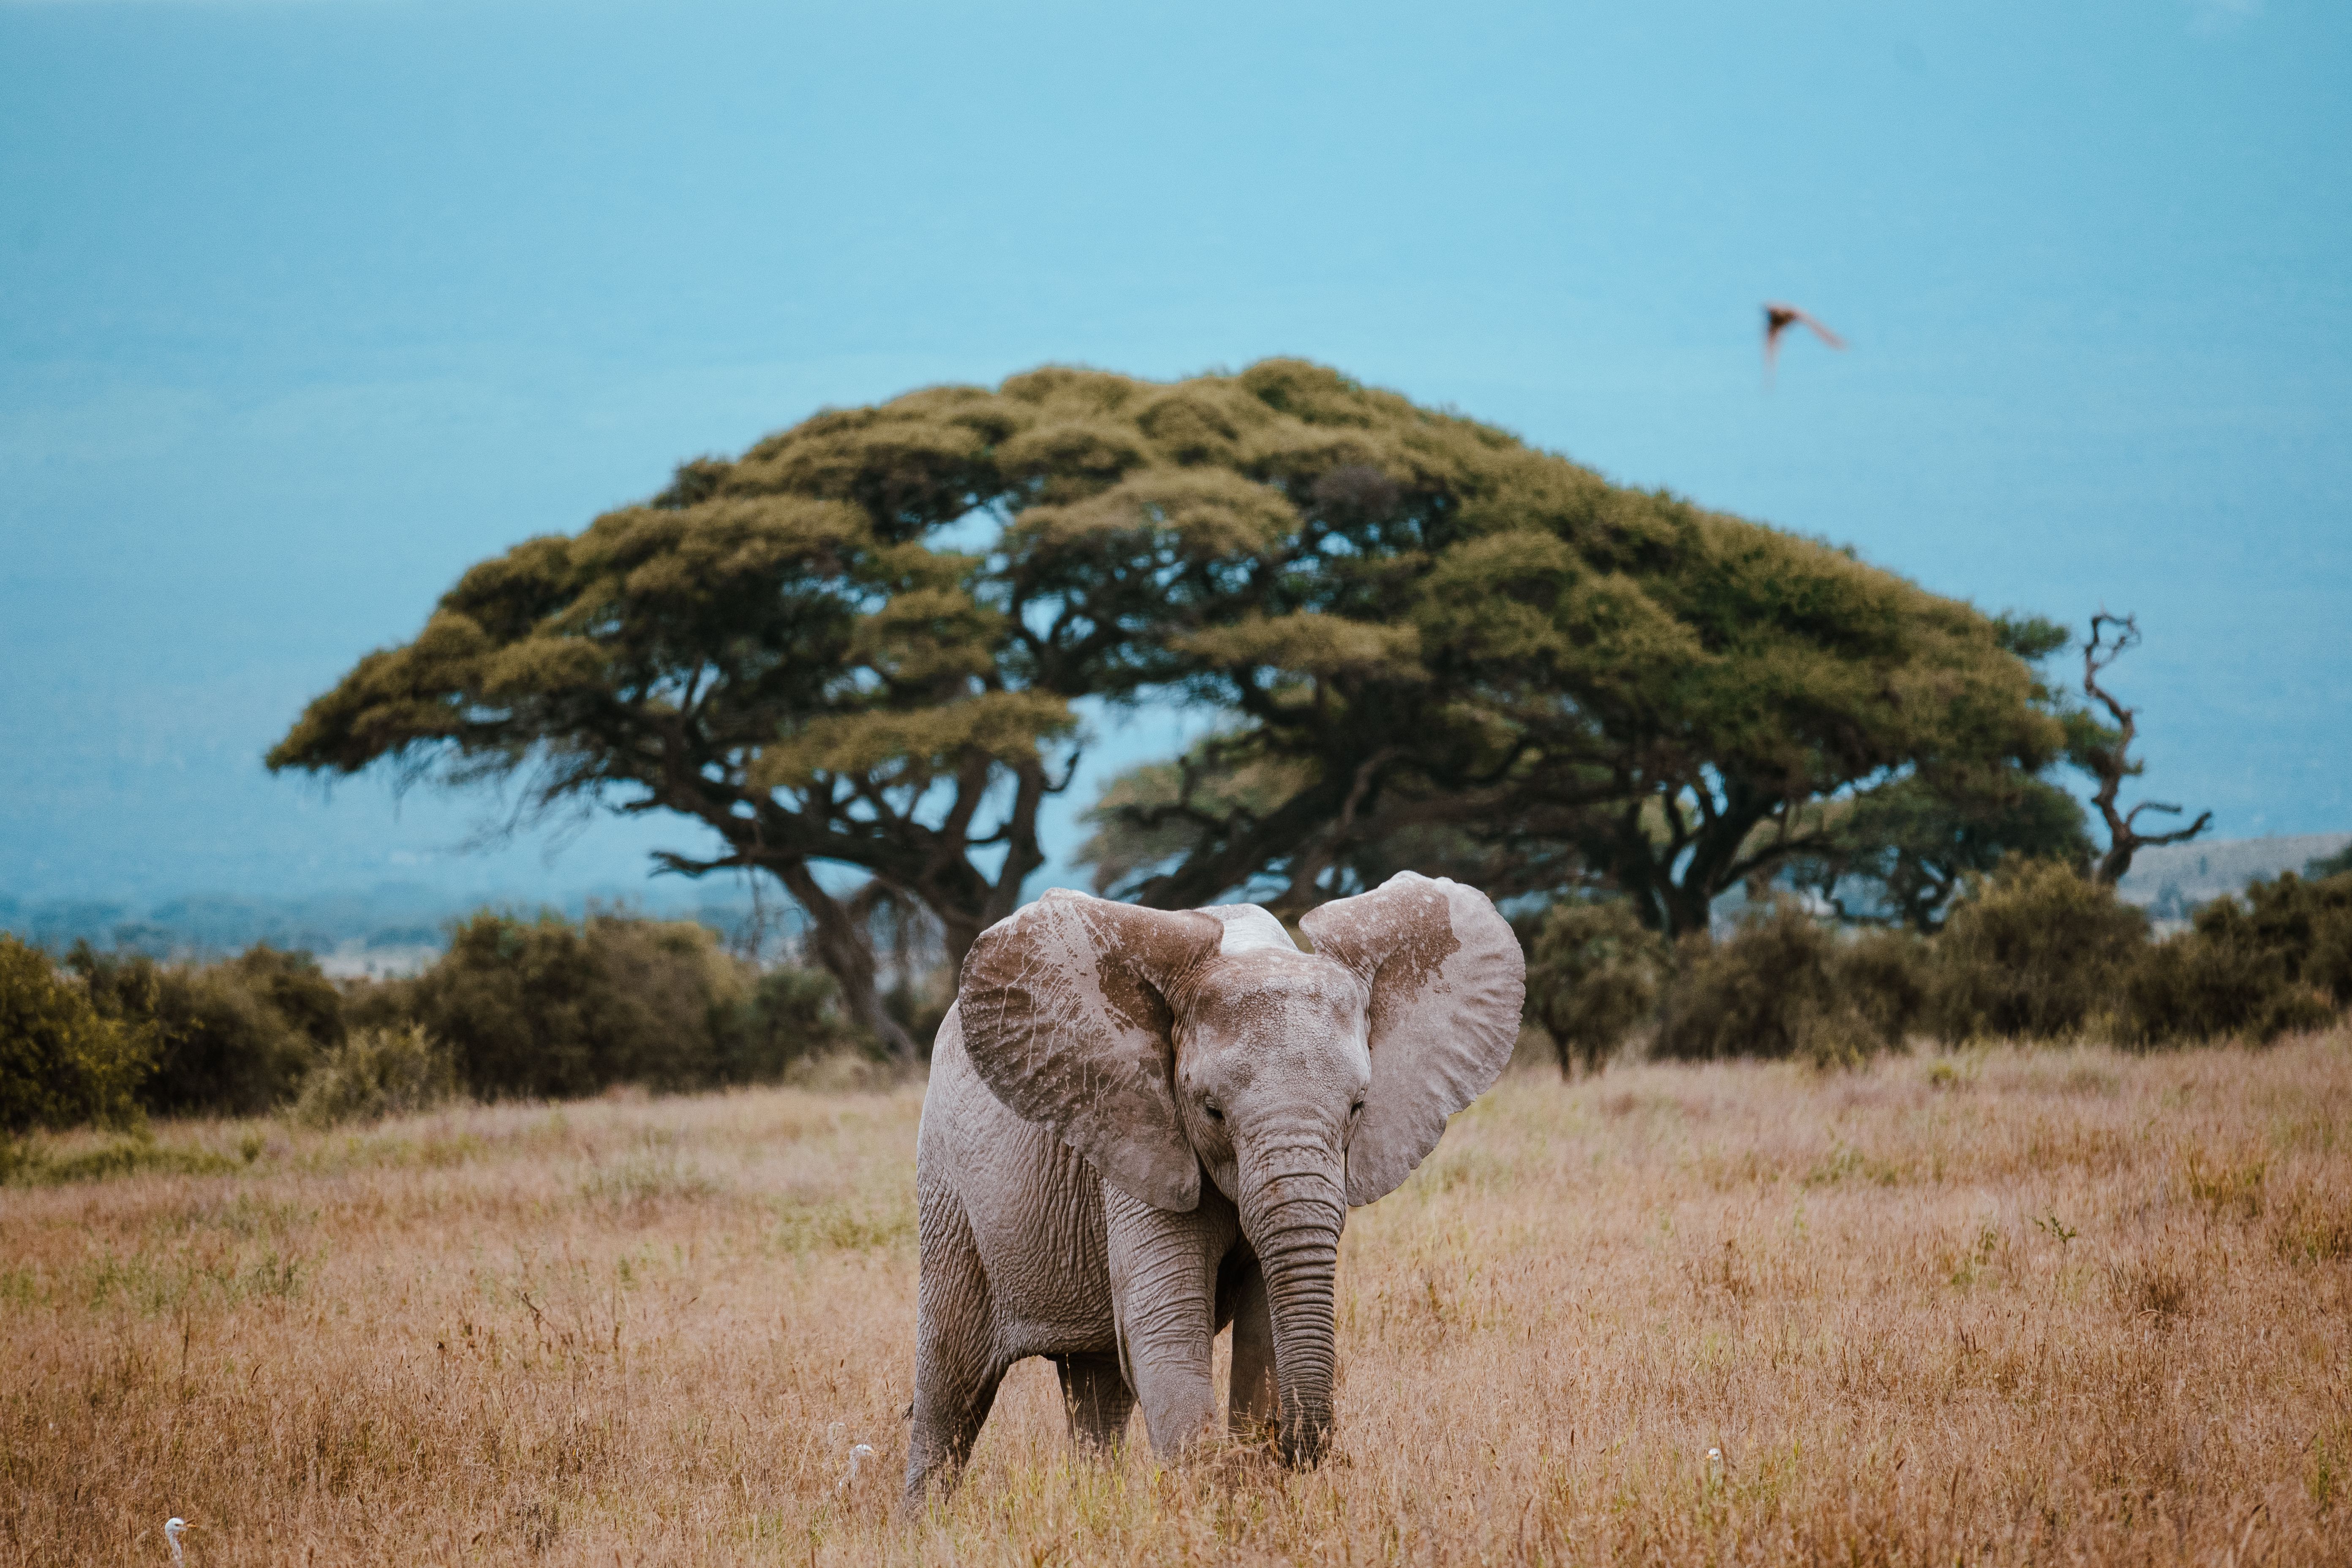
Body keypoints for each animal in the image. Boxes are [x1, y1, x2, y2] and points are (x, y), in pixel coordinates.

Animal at [903, 870, 1525, 1506]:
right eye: (1212, 1111)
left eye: (1358, 1107)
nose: (1298, 1447)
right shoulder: (1141, 1128)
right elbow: (1167, 1323)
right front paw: (1210, 1499)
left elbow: (1261, 1326)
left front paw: (1253, 1482)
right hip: (947, 1184)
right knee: (950, 1384)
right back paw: (928, 1520)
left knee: (1096, 1387)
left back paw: (1095, 1505)